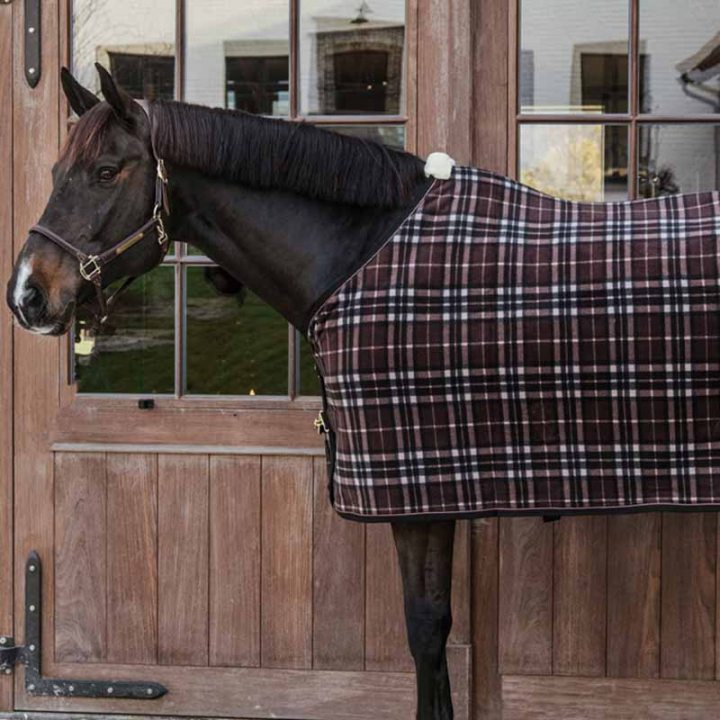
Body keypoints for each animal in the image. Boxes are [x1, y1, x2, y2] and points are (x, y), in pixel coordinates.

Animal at [7, 65, 457, 720]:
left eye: (106, 172)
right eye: (52, 173)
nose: (25, 294)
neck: (371, 254)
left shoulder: (424, 493)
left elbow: (426, 631)